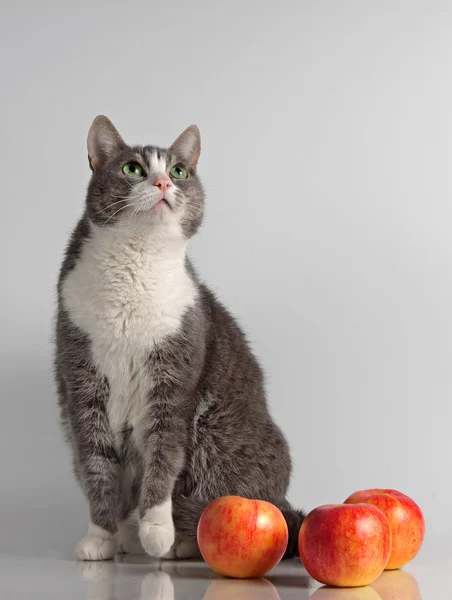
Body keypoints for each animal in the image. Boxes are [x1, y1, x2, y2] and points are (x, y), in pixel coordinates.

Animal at [54, 115, 306, 560]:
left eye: (179, 171)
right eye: (132, 168)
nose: (161, 183)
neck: (134, 264)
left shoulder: (173, 380)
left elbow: (162, 455)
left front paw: (156, 528)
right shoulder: (81, 382)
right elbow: (96, 465)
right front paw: (100, 536)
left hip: (217, 435)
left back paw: (180, 543)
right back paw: (125, 537)